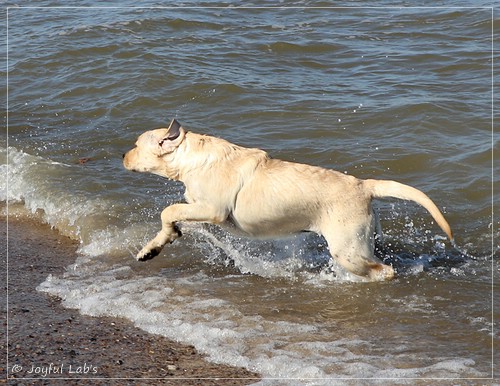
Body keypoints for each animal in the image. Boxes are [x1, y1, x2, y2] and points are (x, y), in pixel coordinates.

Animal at [124, 118, 454, 280]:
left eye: (137, 145)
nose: (123, 156)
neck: (190, 159)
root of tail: (363, 185)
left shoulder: (212, 209)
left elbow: (168, 211)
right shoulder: (198, 208)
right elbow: (172, 219)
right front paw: (154, 247)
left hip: (346, 249)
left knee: (384, 272)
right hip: (361, 241)